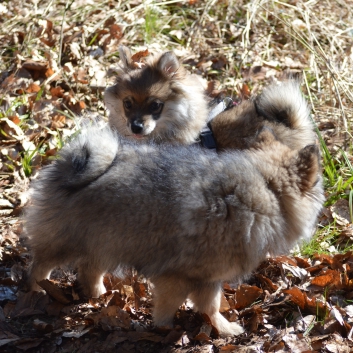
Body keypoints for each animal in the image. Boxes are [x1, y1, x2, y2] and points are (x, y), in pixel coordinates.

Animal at [24, 124, 322, 336]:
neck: (266, 187)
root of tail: (69, 165)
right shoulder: (180, 276)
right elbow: (182, 305)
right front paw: (168, 328)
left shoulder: (207, 279)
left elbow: (210, 306)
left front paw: (219, 327)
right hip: (68, 242)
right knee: (41, 265)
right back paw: (38, 291)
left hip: (106, 240)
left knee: (89, 270)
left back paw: (98, 296)